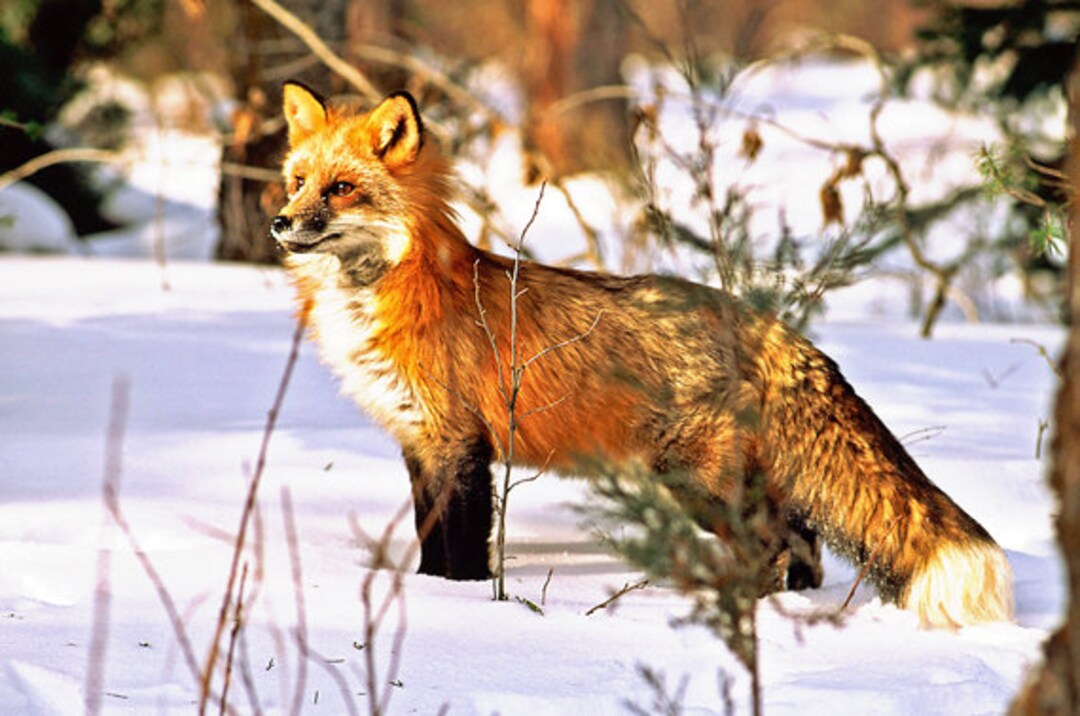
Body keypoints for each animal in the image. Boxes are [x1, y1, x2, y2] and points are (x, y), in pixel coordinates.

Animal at [270, 82, 1013, 629]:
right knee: (805, 543)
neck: (390, 291)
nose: (278, 223)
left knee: (773, 543)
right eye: (298, 181)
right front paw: (428, 594)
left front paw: (461, 604)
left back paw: (742, 612)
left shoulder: (461, 445)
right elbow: (430, 546)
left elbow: (462, 553)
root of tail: (770, 325)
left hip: (694, 483)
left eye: (340, 189)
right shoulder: (419, 443)